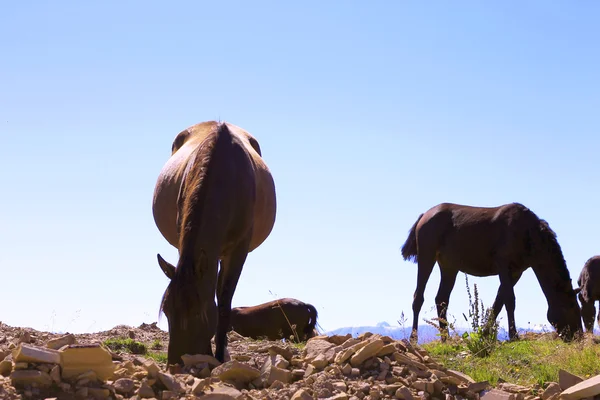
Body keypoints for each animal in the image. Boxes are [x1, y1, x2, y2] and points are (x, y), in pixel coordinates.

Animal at [154, 120, 278, 364]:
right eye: (167, 311)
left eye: (198, 312)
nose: (177, 362)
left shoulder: (238, 249)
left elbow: (224, 301)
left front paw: (220, 356)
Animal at [404, 203, 580, 344]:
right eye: (571, 307)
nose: (578, 335)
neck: (527, 233)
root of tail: (424, 216)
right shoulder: (504, 266)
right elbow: (509, 301)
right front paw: (514, 335)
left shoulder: (516, 272)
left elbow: (498, 303)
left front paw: (485, 333)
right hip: (427, 257)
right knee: (418, 297)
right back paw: (414, 338)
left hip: (449, 267)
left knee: (441, 299)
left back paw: (445, 337)